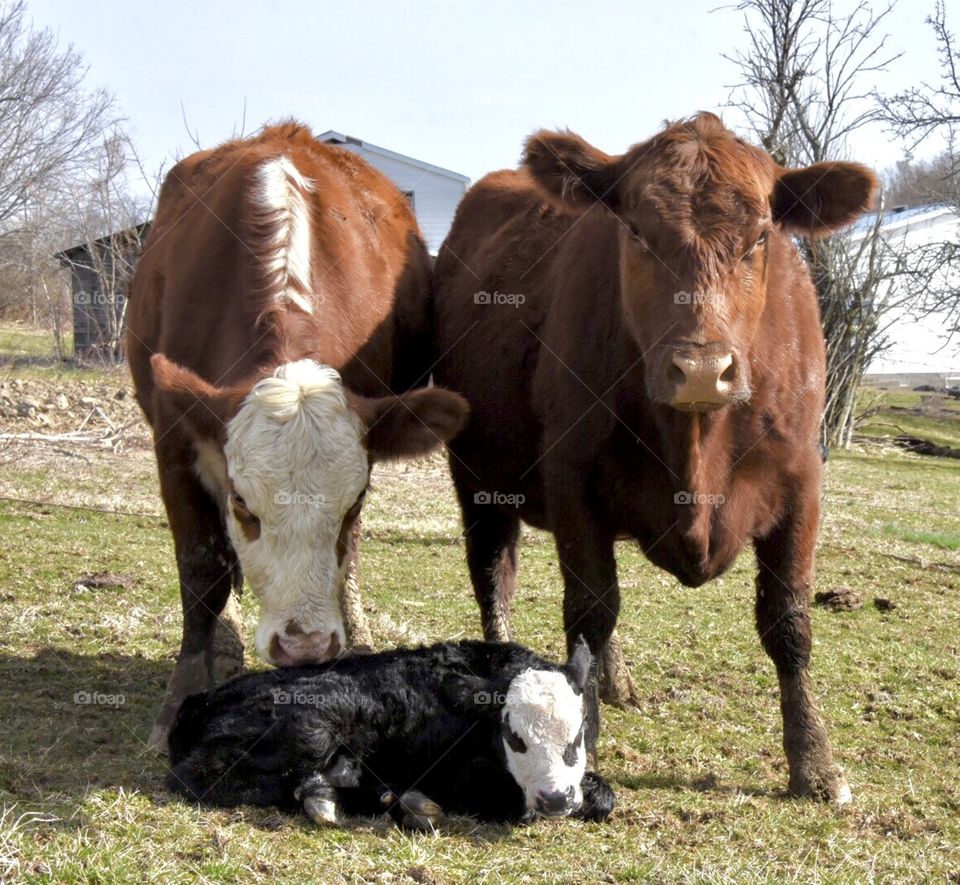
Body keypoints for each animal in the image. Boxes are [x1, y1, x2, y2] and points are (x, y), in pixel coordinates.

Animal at [128, 121, 468, 748]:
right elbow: (202, 569)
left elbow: (346, 553)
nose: (304, 646)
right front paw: (181, 698)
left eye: (352, 500)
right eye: (243, 501)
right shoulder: (174, 440)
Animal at [434, 112, 876, 800]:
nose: (701, 370)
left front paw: (816, 764)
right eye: (636, 231)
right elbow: (590, 610)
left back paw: (617, 685)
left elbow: (789, 623)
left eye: (760, 238)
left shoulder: (803, 483)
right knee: (493, 575)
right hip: (478, 476)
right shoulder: (573, 480)